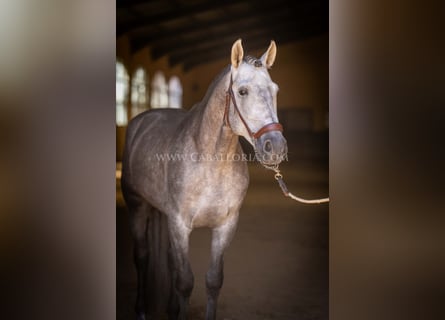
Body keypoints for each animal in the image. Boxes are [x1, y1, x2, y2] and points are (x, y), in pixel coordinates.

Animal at [121, 38, 288, 318]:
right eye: (242, 91)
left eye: (274, 90)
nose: (275, 147)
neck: (210, 162)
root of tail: (143, 119)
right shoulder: (179, 224)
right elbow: (185, 282)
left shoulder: (225, 225)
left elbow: (213, 280)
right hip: (137, 207)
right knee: (142, 256)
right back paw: (141, 310)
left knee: (168, 259)